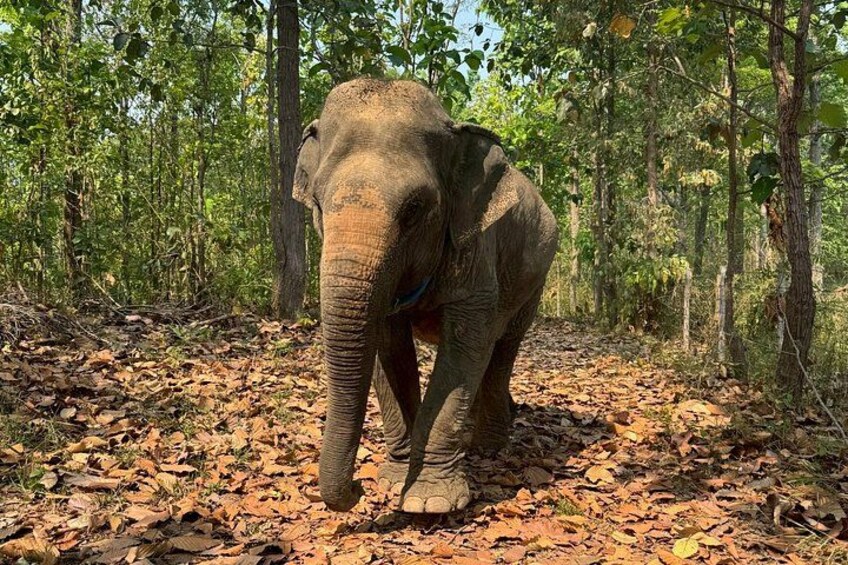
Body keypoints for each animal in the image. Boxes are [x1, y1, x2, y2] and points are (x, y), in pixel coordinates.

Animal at [293, 78, 558, 514]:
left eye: (415, 208)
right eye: (317, 202)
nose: (358, 488)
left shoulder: (477, 251)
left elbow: (463, 352)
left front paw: (429, 501)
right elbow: (389, 351)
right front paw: (394, 478)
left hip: (534, 281)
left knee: (502, 349)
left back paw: (487, 445)